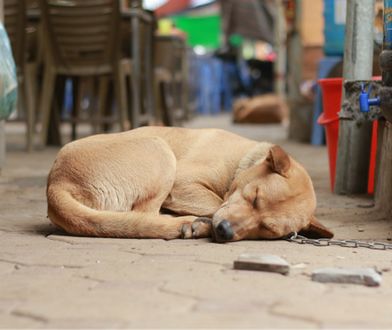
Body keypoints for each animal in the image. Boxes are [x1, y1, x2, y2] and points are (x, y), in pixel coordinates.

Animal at [46, 126, 334, 242]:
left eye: (268, 229)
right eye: (254, 197)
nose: (225, 231)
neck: (242, 160)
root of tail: (57, 184)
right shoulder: (183, 183)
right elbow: (215, 205)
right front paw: (200, 222)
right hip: (159, 148)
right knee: (144, 215)